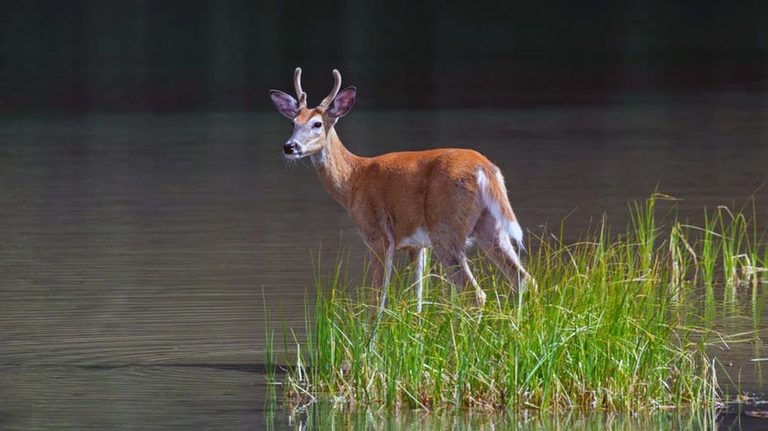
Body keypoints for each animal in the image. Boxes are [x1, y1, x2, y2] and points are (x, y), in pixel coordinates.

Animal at [270, 68, 534, 313]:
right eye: (293, 122)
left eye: (316, 124)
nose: (289, 146)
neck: (353, 179)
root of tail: (485, 168)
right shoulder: (417, 246)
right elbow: (418, 300)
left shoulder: (378, 235)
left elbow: (377, 300)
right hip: (490, 226)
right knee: (523, 278)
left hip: (446, 228)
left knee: (474, 292)